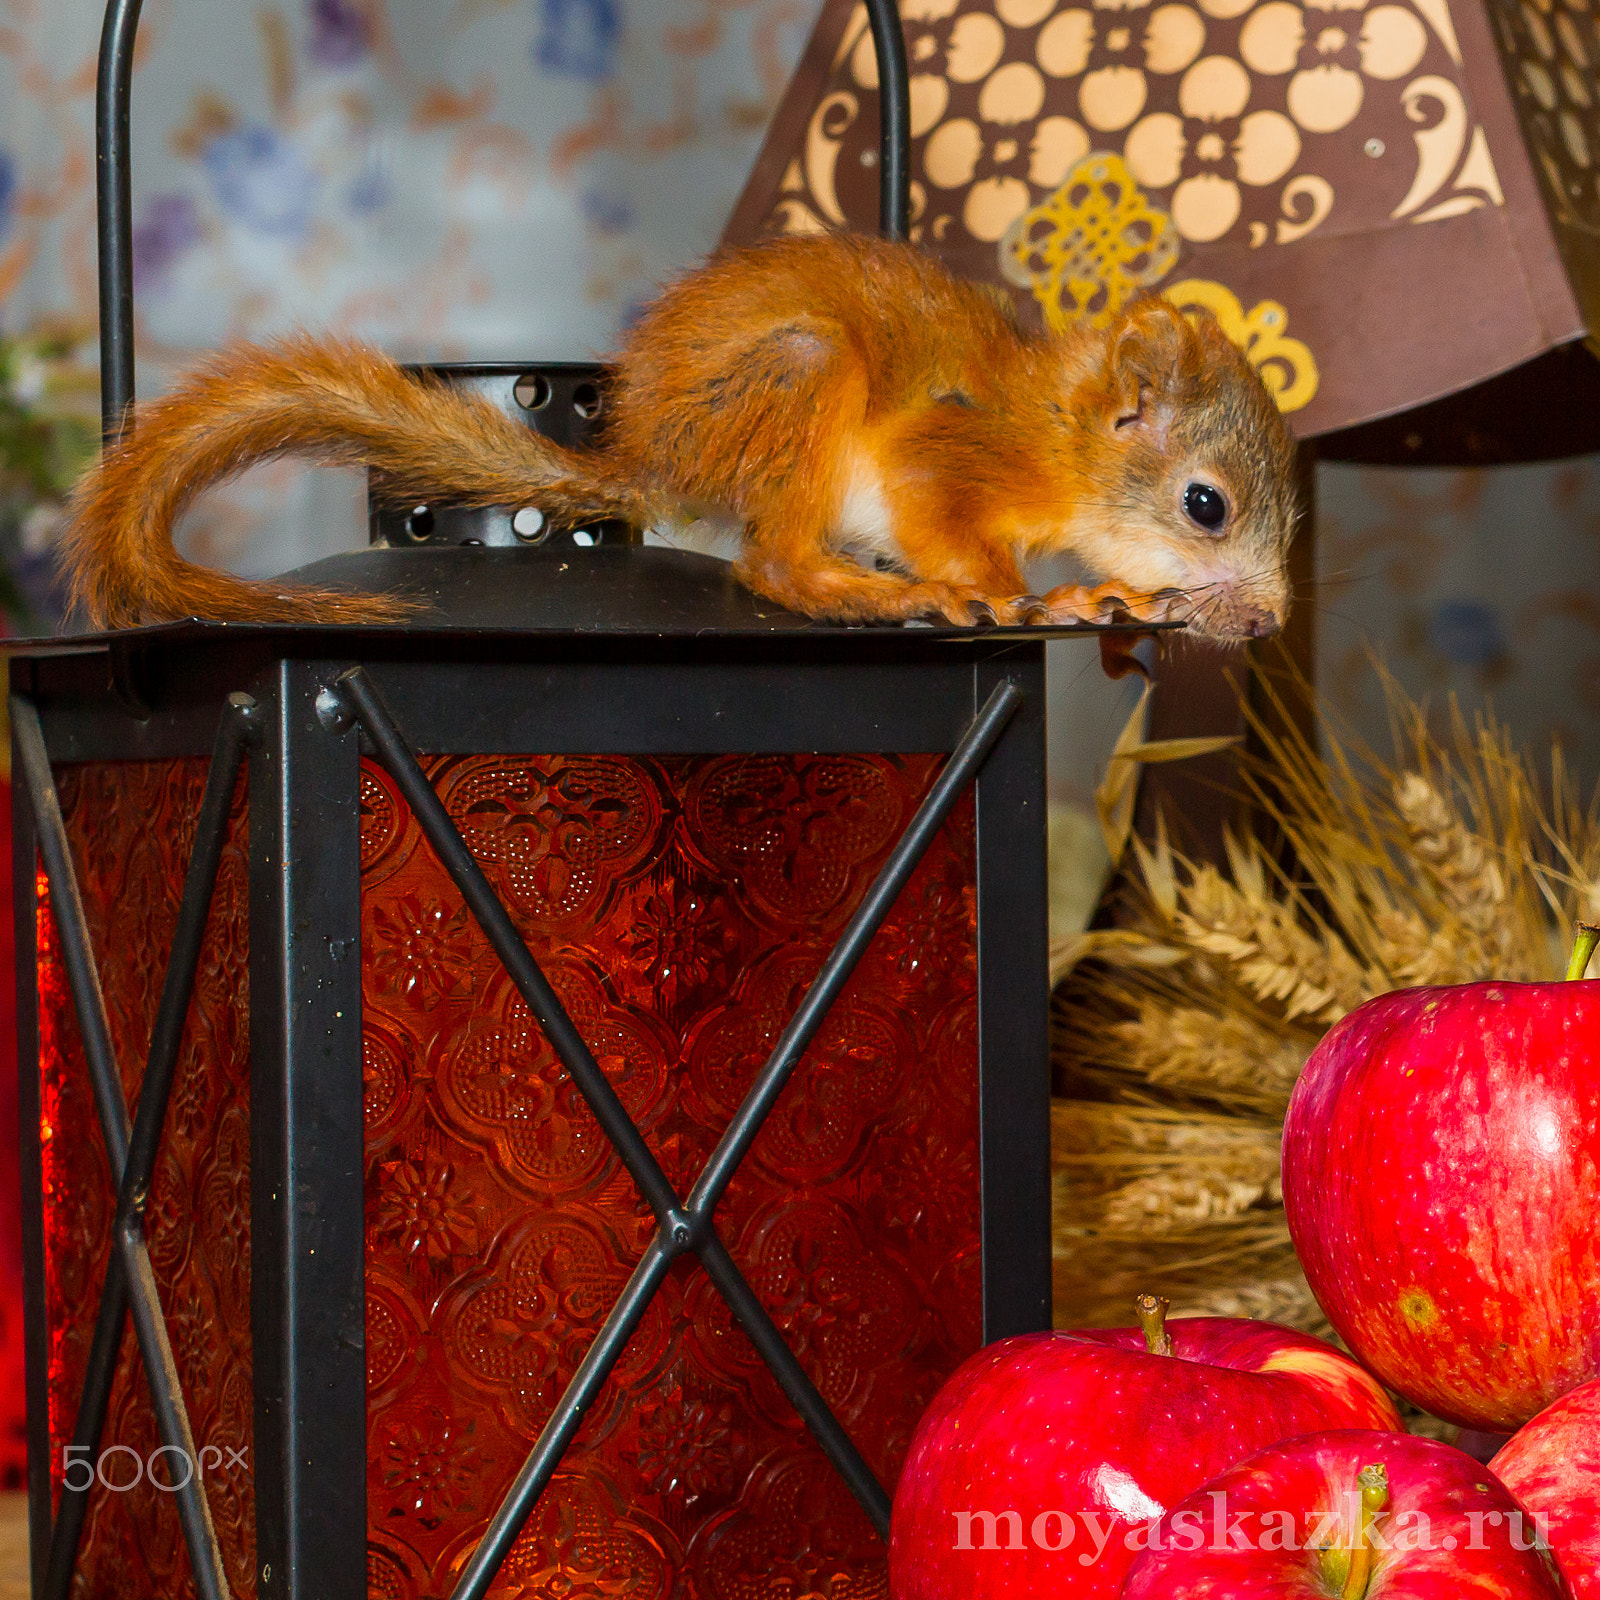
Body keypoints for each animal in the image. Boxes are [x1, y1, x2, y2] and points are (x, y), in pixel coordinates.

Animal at [61, 231, 1297, 647]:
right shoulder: (952, 461)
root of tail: (652, 455)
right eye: (1206, 504)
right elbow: (966, 540)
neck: (1059, 434)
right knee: (771, 566)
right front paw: (1046, 598)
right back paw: (854, 588)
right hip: (800, 378)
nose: (1270, 622)